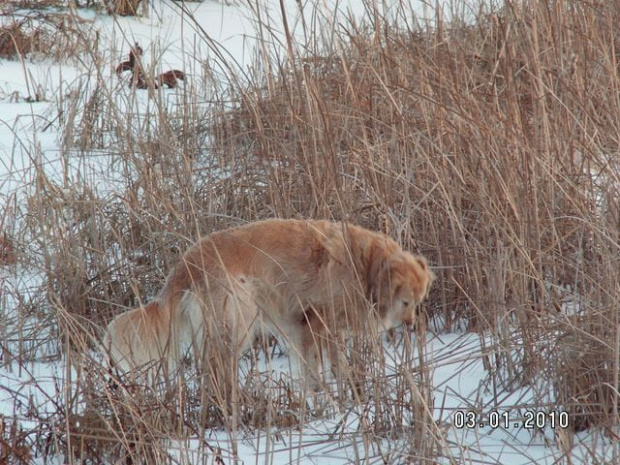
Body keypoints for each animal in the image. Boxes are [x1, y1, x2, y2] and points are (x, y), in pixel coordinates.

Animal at [104, 218, 434, 388]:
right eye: (405, 302)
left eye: (418, 302)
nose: (411, 326)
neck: (366, 266)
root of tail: (187, 264)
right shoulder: (316, 321)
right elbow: (326, 364)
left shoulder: (310, 327)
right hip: (237, 320)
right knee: (218, 367)